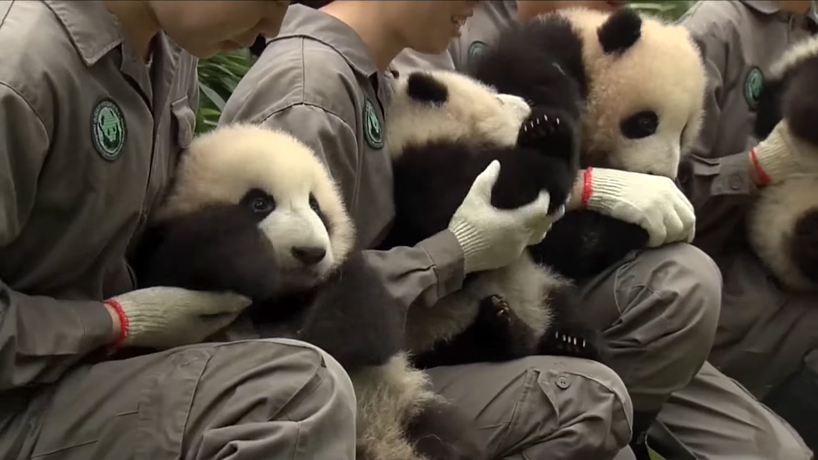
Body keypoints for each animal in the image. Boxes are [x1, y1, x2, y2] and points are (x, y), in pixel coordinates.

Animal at [130, 124, 486, 460]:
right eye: (259, 203)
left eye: (316, 206)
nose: (310, 252)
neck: (281, 300)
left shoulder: (347, 276)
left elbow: (369, 324)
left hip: (407, 406)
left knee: (443, 433)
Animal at [379, 68, 605, 370]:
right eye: (497, 100)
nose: (526, 104)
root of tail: (536, 333)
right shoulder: (421, 172)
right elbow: (494, 189)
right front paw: (544, 154)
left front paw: (546, 128)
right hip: (429, 335)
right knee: (466, 349)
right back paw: (500, 329)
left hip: (540, 284)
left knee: (564, 306)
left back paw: (572, 340)